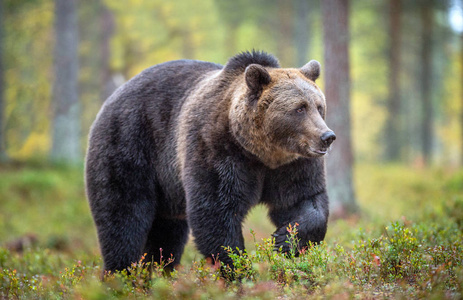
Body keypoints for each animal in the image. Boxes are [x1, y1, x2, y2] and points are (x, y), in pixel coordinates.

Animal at [85, 51, 336, 272]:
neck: (260, 152)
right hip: (129, 146)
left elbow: (304, 199)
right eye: (299, 108)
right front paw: (237, 269)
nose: (327, 136)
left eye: (319, 106)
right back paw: (121, 274)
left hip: (167, 191)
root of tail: (113, 96)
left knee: (167, 235)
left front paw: (285, 240)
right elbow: (215, 212)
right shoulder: (215, 149)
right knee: (123, 218)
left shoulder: (292, 166)